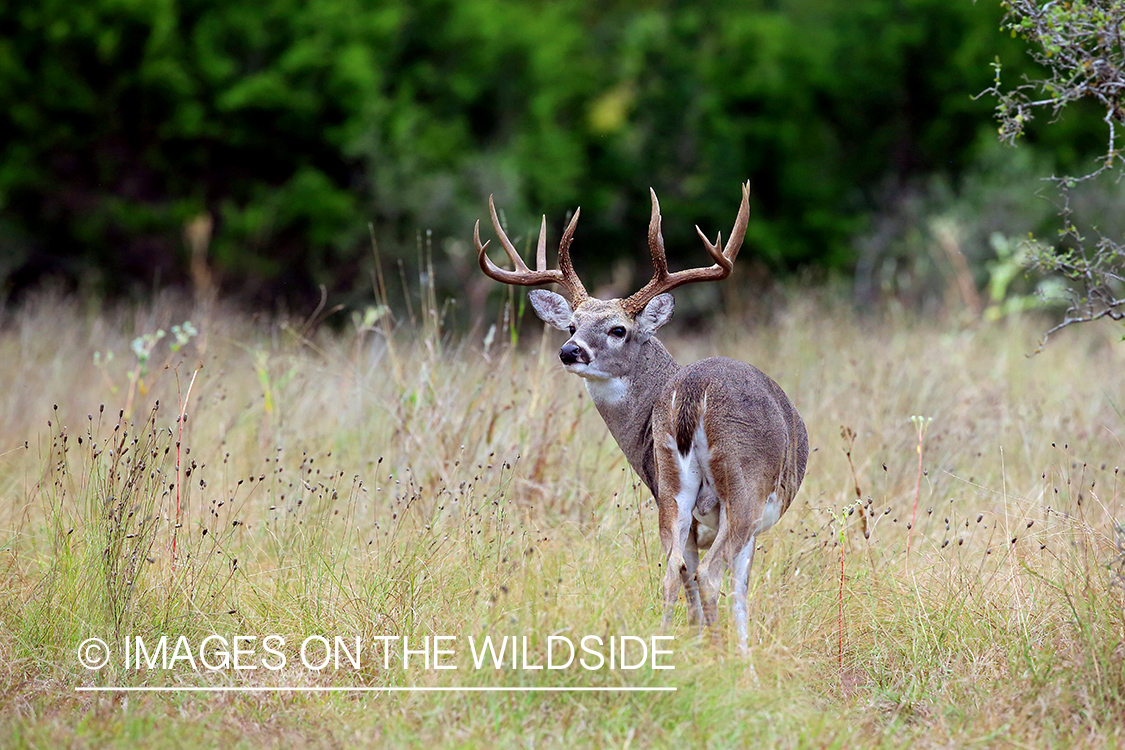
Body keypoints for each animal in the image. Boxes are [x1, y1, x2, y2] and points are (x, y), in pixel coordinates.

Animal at [474, 183, 810, 652]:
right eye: (571, 325)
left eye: (618, 329)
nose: (569, 350)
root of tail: (692, 395)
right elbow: (740, 589)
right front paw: (740, 655)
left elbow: (686, 572)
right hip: (744, 485)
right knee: (710, 575)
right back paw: (718, 651)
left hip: (672, 486)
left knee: (673, 571)